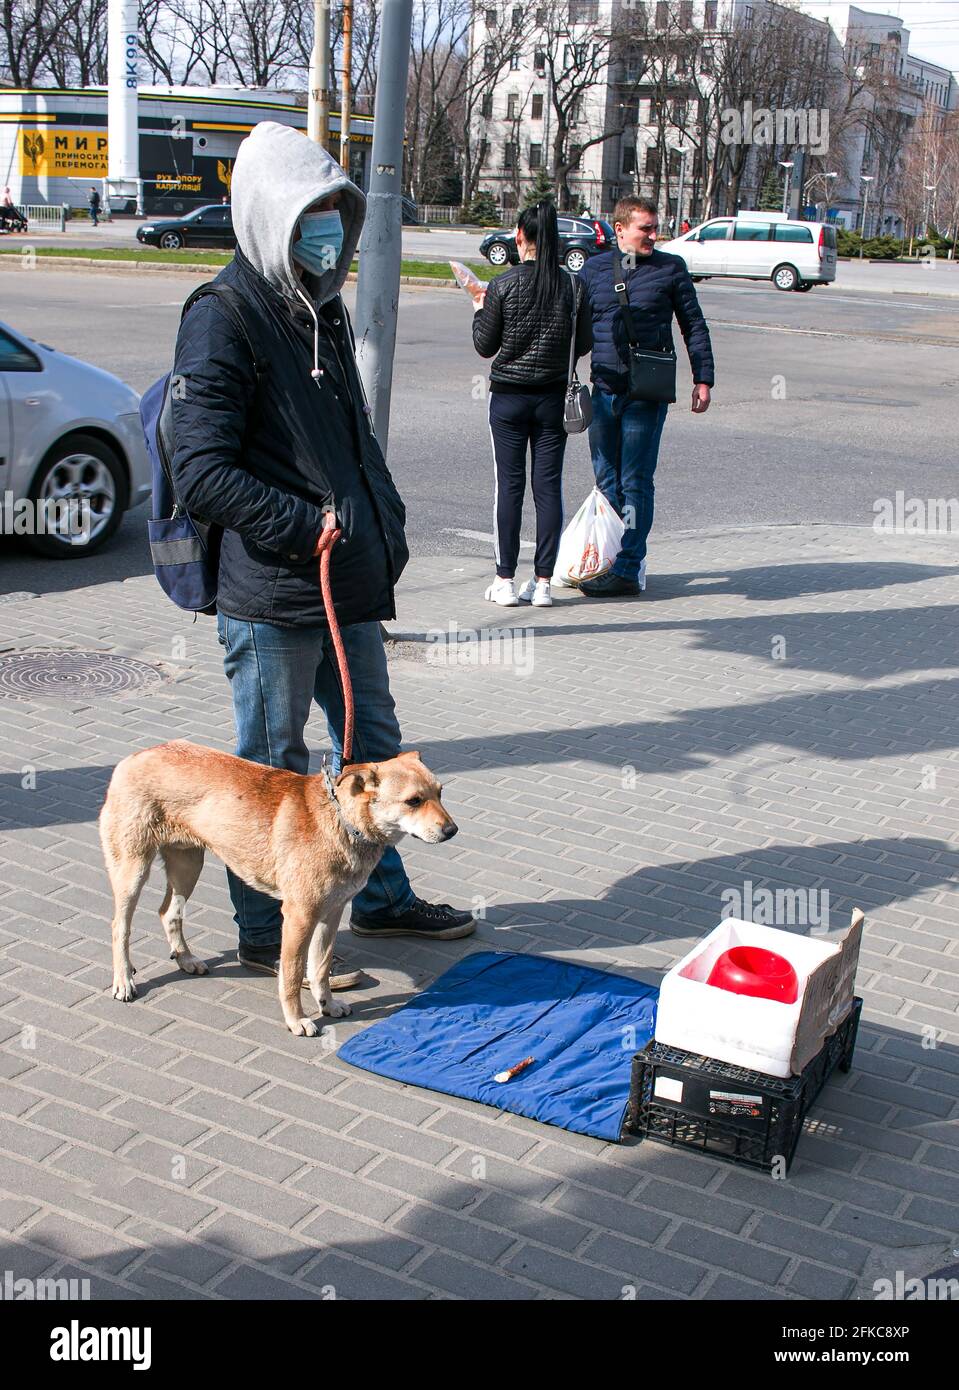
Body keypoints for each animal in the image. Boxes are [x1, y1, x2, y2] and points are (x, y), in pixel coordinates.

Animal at [98, 750, 458, 1034]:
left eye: (440, 793)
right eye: (413, 801)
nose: (452, 830)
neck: (340, 820)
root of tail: (134, 757)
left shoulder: (331, 914)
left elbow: (321, 967)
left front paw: (327, 1005)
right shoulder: (299, 917)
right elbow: (293, 973)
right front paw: (296, 1019)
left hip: (187, 865)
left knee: (168, 912)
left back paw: (185, 958)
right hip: (132, 869)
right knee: (119, 926)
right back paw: (124, 980)